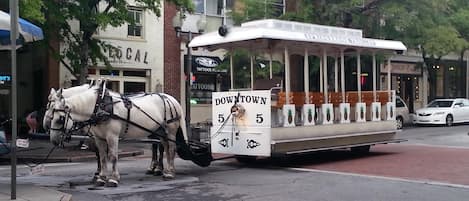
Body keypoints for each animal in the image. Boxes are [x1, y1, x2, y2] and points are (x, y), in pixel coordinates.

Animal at [47, 84, 186, 186]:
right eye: (50, 111)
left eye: (60, 119)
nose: (53, 140)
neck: (99, 106)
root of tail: (172, 99)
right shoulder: (99, 138)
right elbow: (102, 157)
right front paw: (101, 178)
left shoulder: (112, 136)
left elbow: (113, 156)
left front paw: (113, 179)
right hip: (160, 131)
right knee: (165, 148)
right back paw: (165, 170)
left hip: (170, 130)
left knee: (171, 149)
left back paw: (169, 173)